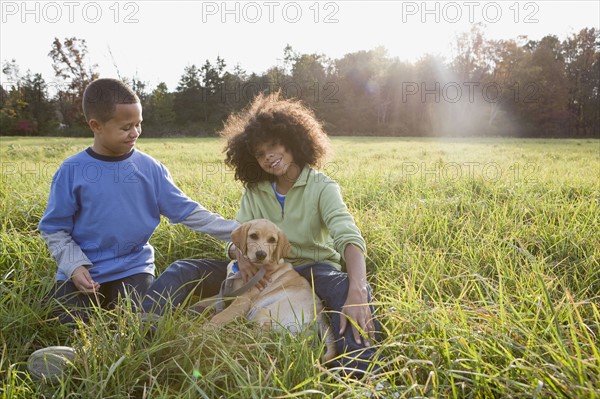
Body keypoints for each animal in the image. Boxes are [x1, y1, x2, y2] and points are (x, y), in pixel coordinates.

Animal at [209, 219, 336, 362]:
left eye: (272, 240)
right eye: (253, 236)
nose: (261, 254)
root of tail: (320, 314)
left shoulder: (242, 301)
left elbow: (221, 316)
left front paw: (204, 330)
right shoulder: (227, 294)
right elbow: (208, 301)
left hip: (264, 312)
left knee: (256, 338)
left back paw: (226, 340)